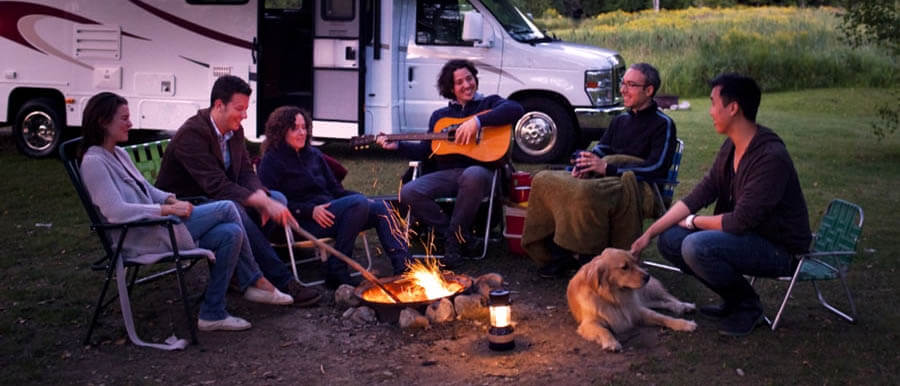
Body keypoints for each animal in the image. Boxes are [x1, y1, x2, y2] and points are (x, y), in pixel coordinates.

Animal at [568, 249, 696, 352]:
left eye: (634, 262)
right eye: (624, 267)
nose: (647, 276)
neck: (615, 297)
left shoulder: (636, 310)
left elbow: (663, 317)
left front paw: (685, 324)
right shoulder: (588, 323)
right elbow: (604, 330)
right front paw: (611, 342)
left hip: (649, 291)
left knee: (669, 298)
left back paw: (685, 306)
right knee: (661, 302)